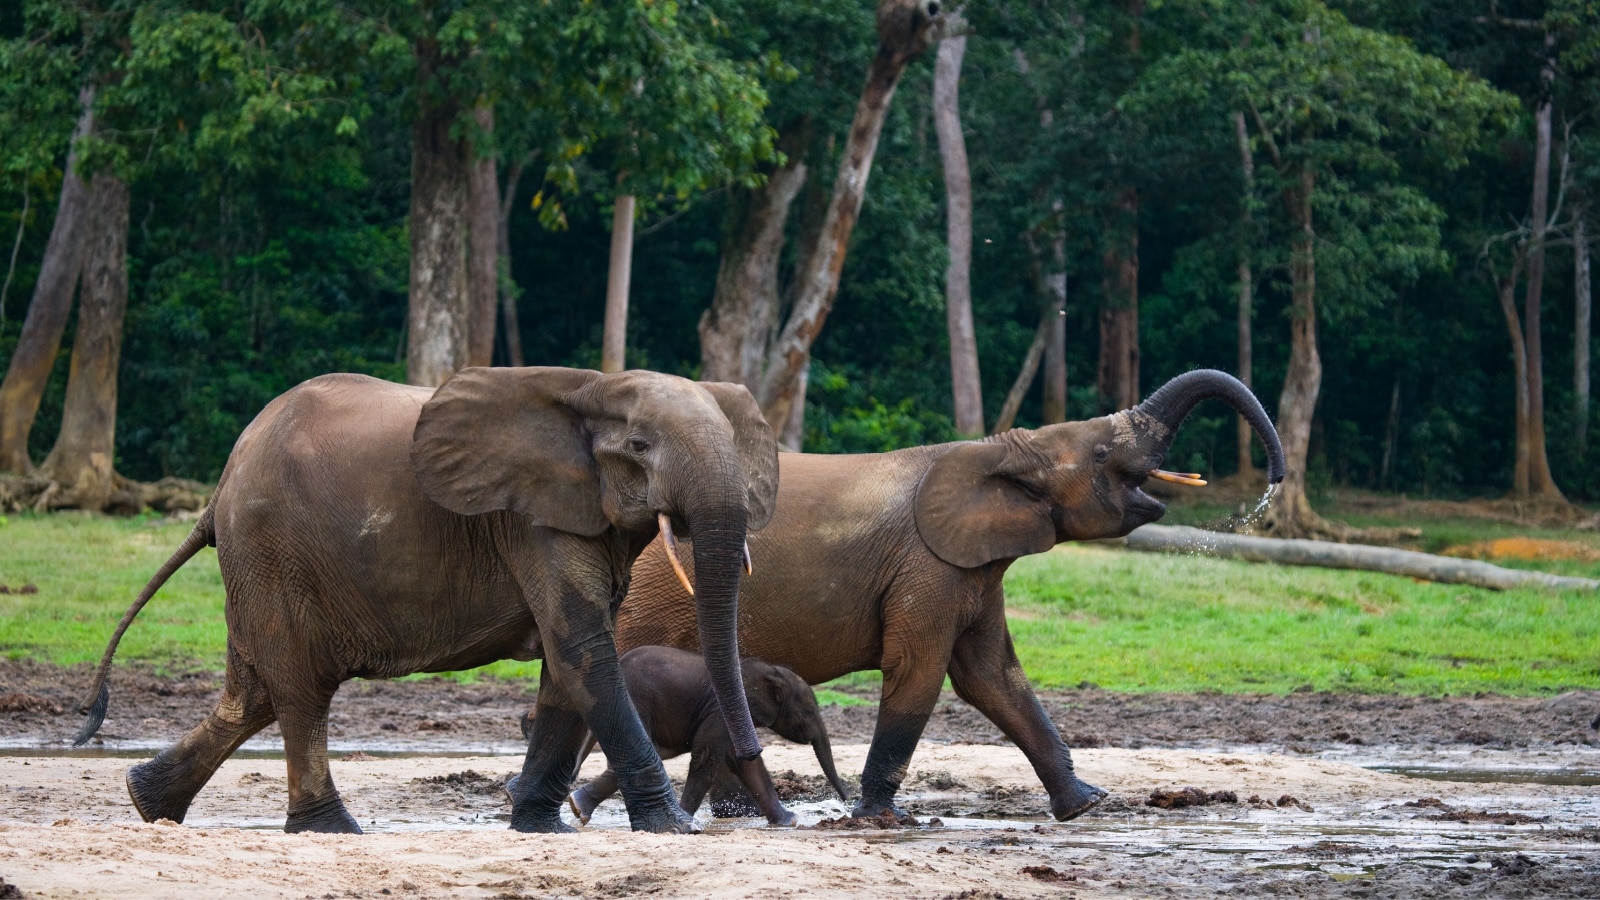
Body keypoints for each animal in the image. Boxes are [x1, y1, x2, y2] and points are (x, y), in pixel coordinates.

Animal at [68, 366, 780, 832]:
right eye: (638, 446)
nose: (751, 754)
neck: (592, 389)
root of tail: (220, 484)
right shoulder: (529, 518)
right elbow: (584, 651)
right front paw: (673, 828)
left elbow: (566, 663)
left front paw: (538, 827)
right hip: (272, 552)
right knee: (299, 689)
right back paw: (329, 830)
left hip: (259, 564)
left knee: (253, 693)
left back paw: (148, 803)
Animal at [550, 640, 851, 826]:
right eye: (808, 712)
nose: (847, 804)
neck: (769, 671)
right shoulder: (719, 712)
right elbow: (706, 758)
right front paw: (687, 821)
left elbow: (746, 763)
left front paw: (790, 822)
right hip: (637, 701)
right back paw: (578, 808)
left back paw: (578, 808)